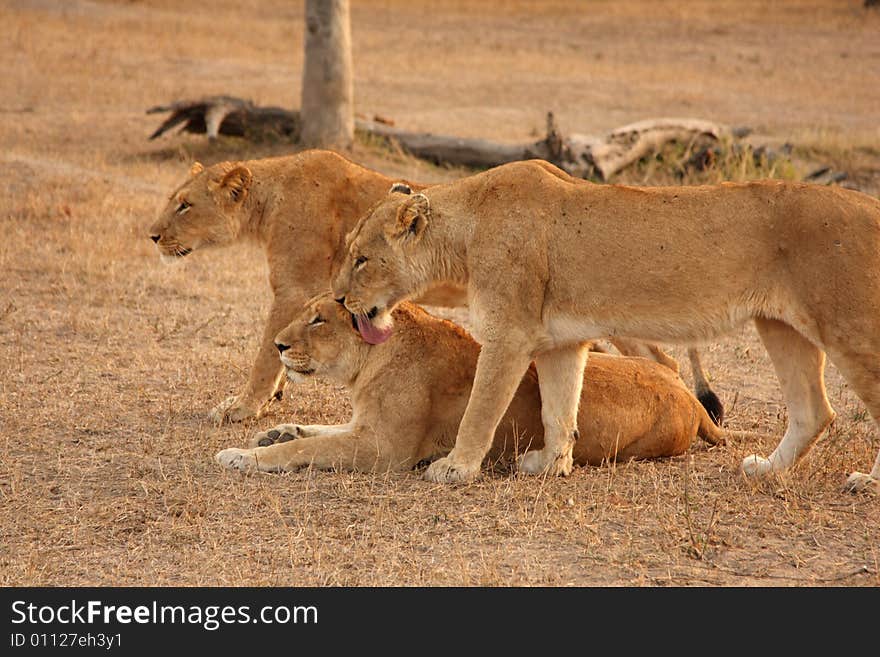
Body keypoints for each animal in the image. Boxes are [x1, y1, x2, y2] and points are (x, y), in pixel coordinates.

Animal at [150, 152, 720, 422]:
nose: (152, 235)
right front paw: (273, 397)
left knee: (665, 360)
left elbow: (265, 353)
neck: (267, 199)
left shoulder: (292, 287)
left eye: (184, 205)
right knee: (664, 359)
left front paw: (242, 407)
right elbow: (280, 354)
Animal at [215, 294, 728, 474]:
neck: (370, 361)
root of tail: (689, 398)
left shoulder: (387, 450)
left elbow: (305, 449)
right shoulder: (365, 428)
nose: (278, 344)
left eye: (318, 320)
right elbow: (316, 432)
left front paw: (243, 456)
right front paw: (274, 432)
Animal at [330, 163, 880, 492]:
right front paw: (552, 465)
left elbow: (480, 410)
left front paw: (455, 469)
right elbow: (559, 409)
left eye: (361, 259)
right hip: (780, 327)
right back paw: (766, 470)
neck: (466, 230)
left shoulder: (509, 335)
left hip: (850, 328)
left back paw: (865, 482)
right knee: (814, 411)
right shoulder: (561, 341)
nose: (338, 298)